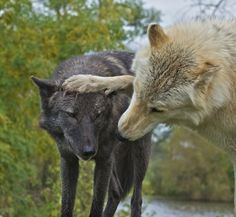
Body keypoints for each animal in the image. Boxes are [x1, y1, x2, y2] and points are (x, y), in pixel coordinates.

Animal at [31, 51, 151, 217]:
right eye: (71, 114)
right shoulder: (68, 160)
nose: (88, 151)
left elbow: (97, 205)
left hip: (138, 155)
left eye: (98, 115)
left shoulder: (103, 160)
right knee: (116, 192)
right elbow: (67, 205)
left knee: (136, 200)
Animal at [62, 19, 236, 215]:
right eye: (138, 92)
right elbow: (124, 78)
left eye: (158, 109)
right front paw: (85, 81)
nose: (119, 136)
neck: (228, 94)